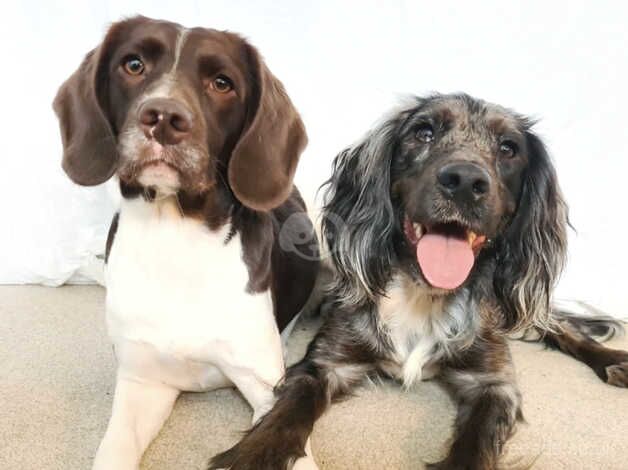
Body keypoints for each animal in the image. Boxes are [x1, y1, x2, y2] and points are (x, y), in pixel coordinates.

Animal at [53, 15, 318, 470]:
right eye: (134, 64)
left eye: (222, 83)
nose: (163, 116)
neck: (175, 240)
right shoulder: (143, 381)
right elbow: (112, 452)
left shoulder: (265, 387)